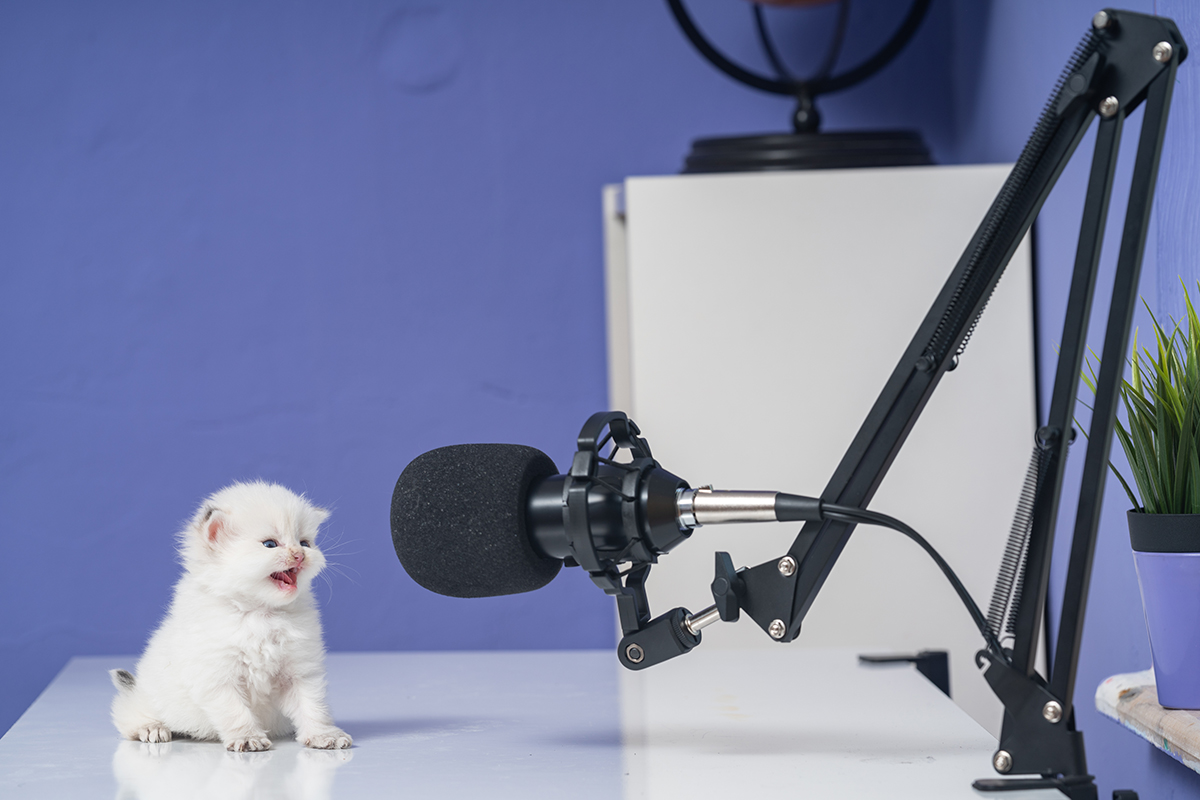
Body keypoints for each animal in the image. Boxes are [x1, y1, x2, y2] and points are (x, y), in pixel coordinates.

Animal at [111, 482, 350, 753]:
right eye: (270, 544)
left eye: (305, 543)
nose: (300, 555)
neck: (260, 612)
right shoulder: (217, 676)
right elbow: (236, 712)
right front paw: (248, 737)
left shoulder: (301, 672)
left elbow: (313, 706)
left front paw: (323, 735)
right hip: (146, 698)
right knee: (128, 714)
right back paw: (152, 727)